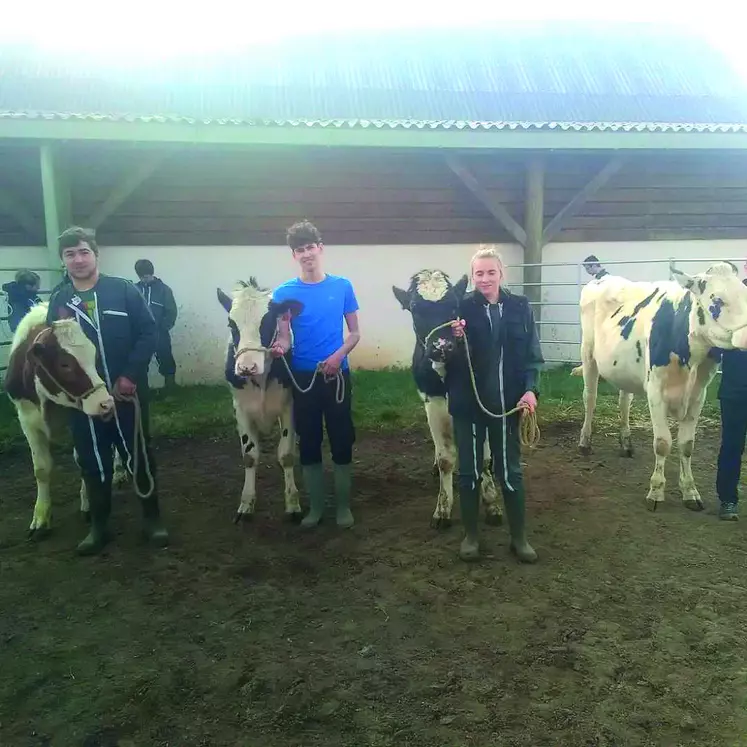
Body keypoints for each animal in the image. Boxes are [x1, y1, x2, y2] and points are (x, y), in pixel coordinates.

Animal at [3, 304, 115, 536]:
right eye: (65, 364)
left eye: (94, 356)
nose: (105, 403)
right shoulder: (26, 419)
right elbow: (41, 469)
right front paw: (40, 517)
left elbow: (84, 459)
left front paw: (88, 504)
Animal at [216, 278, 304, 524]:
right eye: (231, 324)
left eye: (267, 321)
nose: (247, 367)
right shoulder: (240, 410)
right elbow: (249, 456)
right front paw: (246, 504)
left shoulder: (289, 407)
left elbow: (286, 455)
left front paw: (292, 503)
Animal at [392, 272, 502, 528]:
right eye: (414, 308)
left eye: (454, 305)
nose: (441, 346)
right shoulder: (433, 401)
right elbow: (445, 458)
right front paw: (442, 509)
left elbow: (483, 457)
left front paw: (491, 502)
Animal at [576, 260, 747, 512]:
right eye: (716, 300)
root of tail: (603, 278)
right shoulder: (656, 392)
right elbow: (663, 443)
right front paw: (655, 492)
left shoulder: (698, 395)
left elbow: (687, 445)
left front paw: (690, 491)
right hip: (588, 355)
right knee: (590, 398)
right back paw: (585, 442)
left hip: (624, 367)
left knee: (624, 401)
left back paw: (626, 443)